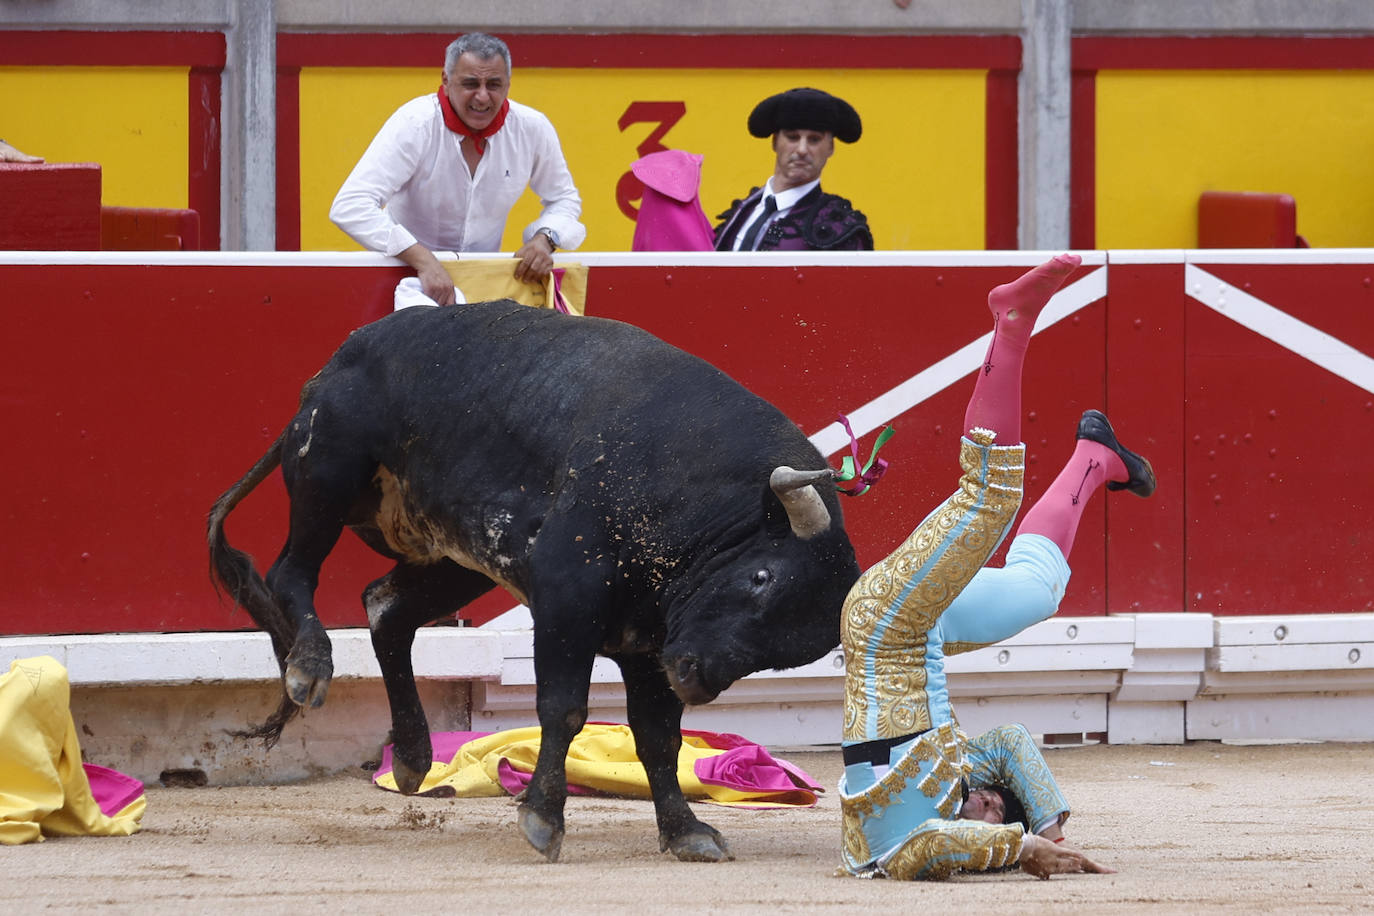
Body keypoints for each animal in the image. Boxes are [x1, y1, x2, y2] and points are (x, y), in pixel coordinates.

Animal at [206, 299, 857, 862]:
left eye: (782, 654)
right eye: (762, 576)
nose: (696, 678)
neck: (696, 493)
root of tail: (334, 363)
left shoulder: (651, 645)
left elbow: (658, 738)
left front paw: (685, 832)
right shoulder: (567, 597)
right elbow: (564, 709)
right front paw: (544, 818)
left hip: (457, 561)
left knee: (385, 609)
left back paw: (413, 757)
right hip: (329, 471)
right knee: (292, 572)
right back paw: (309, 666)